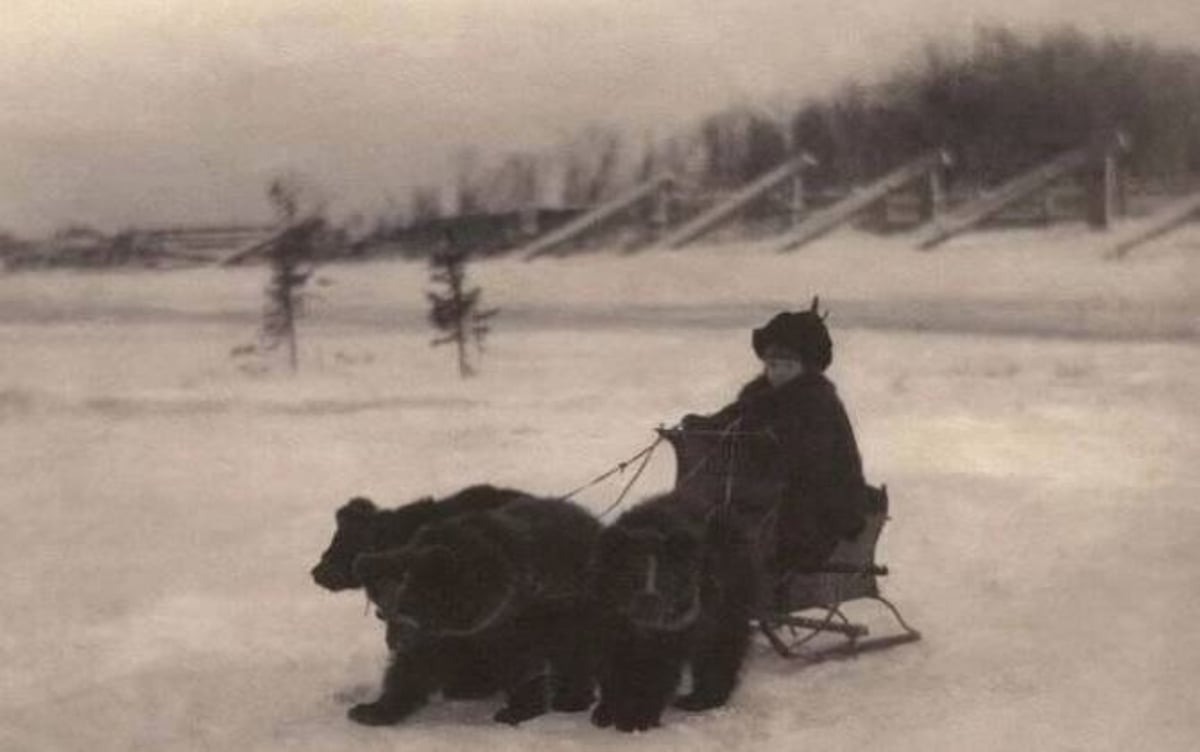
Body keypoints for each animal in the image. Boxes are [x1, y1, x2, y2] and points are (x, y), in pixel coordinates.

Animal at [350, 496, 604, 724]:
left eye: (408, 610)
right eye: (382, 614)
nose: (394, 644)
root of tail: (591, 520)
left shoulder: (512, 619)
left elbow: (523, 661)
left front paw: (518, 709)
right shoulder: (444, 636)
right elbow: (413, 668)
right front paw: (373, 710)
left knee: (575, 652)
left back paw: (572, 699)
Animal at [585, 491, 753, 734]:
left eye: (666, 581)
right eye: (630, 580)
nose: (649, 603)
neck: (639, 629)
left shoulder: (676, 624)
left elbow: (659, 668)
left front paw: (638, 719)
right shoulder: (607, 618)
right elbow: (612, 661)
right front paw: (606, 712)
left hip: (730, 598)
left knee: (720, 649)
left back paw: (700, 700)